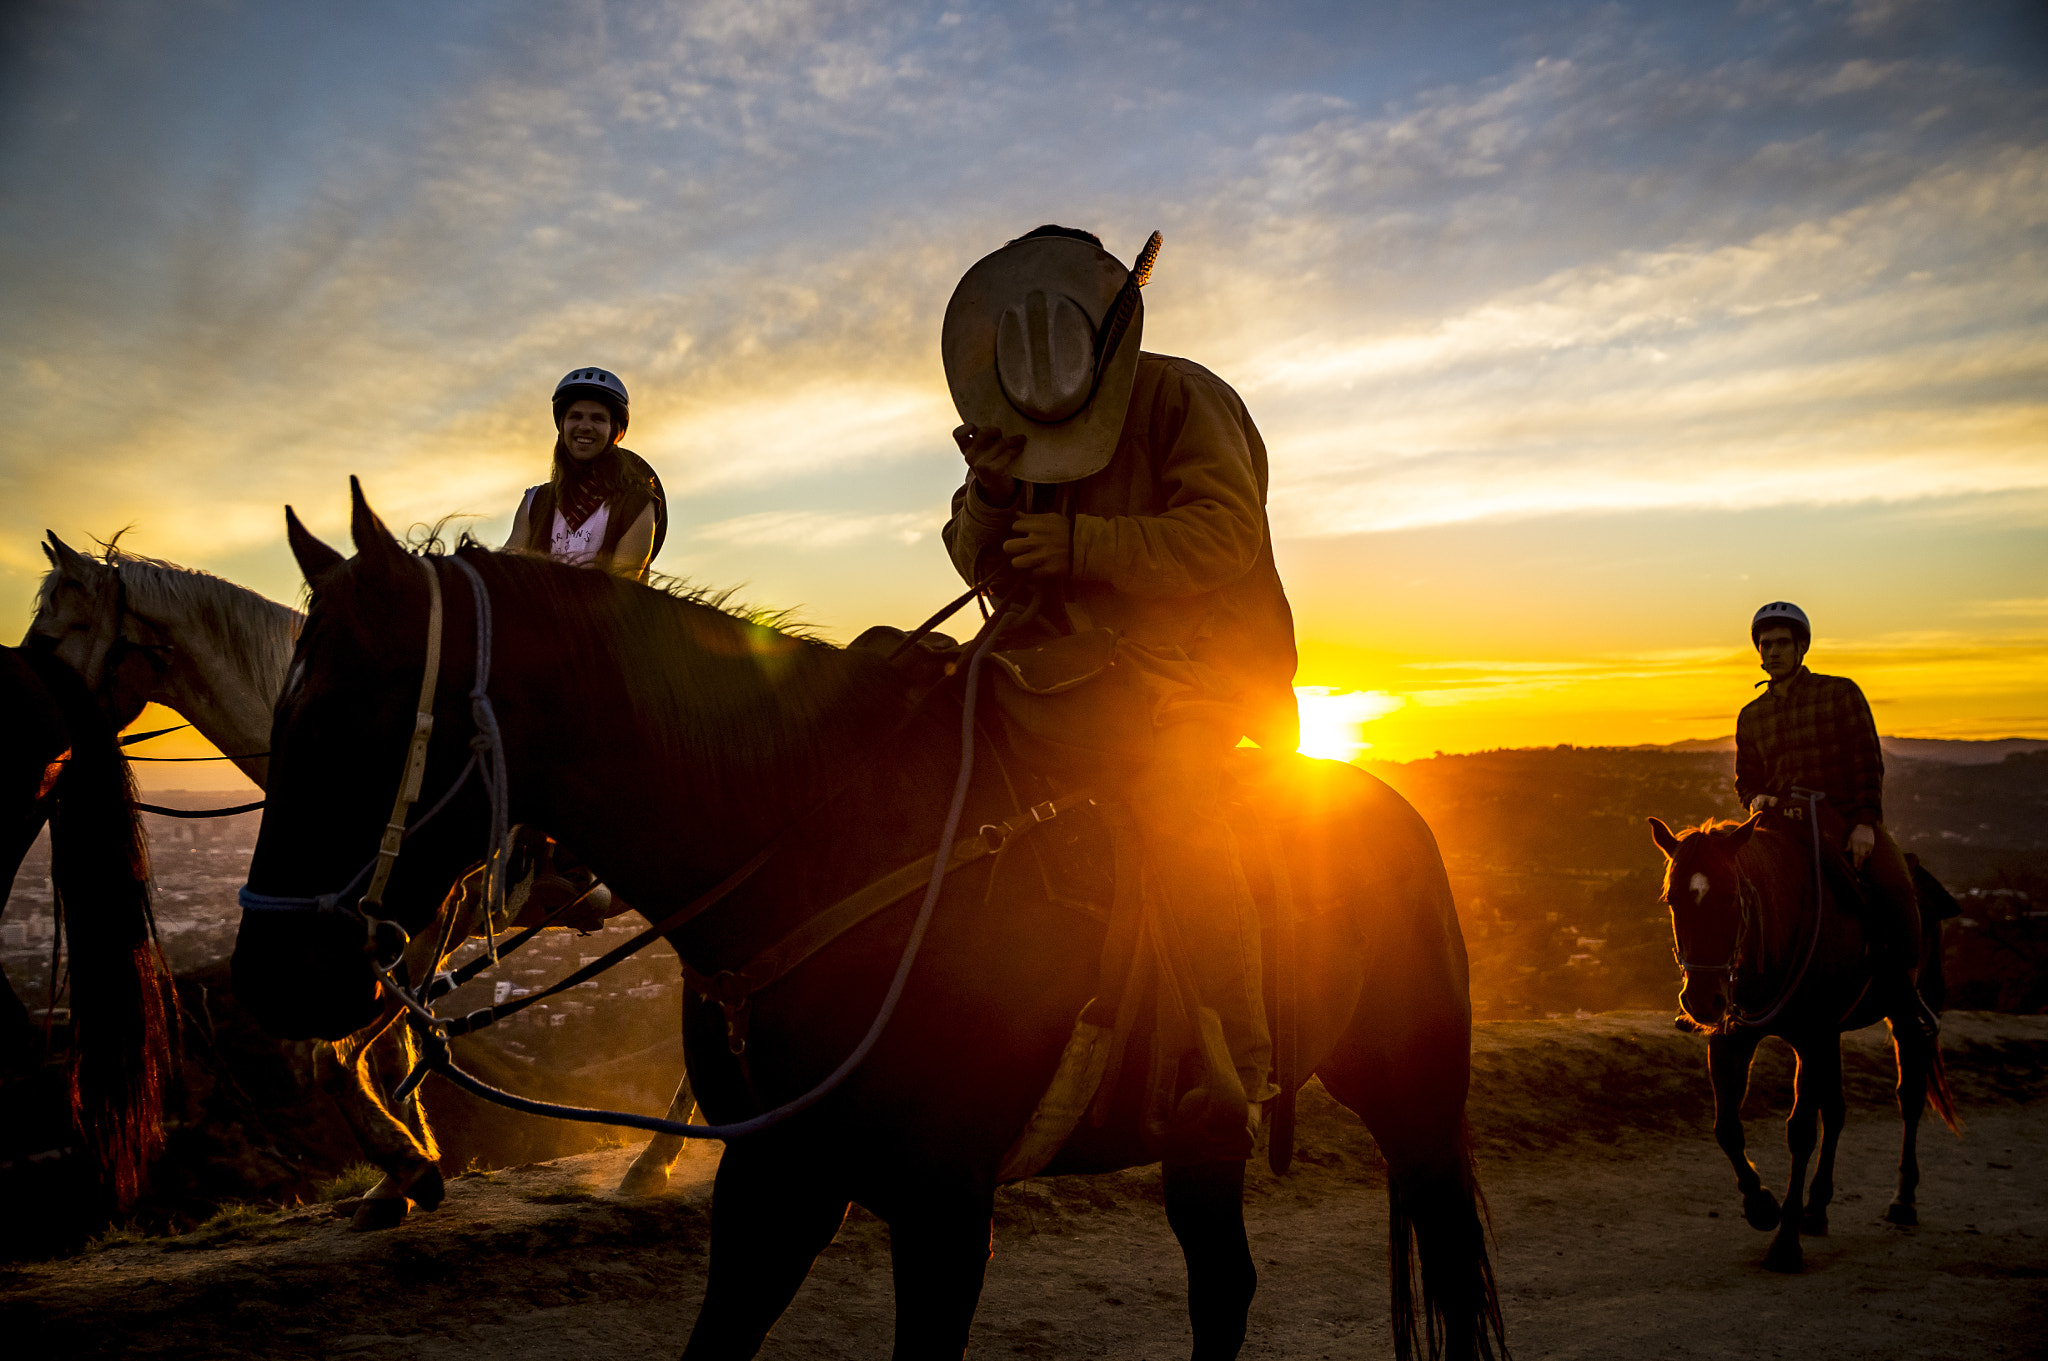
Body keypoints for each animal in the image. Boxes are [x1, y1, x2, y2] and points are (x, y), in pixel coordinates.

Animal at [28, 536, 696, 1211]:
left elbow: (337, 1056)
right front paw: (401, 1172)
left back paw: (653, 1160)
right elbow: (387, 1050)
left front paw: (405, 1163)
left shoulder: (427, 925)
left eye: (47, 643)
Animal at [232, 489, 1507, 1358]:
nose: (272, 974)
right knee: (1222, 1283)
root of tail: (1391, 808)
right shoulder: (776, 1177)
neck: (818, 839)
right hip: (1207, 1131)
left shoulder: (943, 1202)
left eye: (348, 716)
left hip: (1411, 1097)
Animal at [1646, 818, 1949, 1277]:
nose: (1701, 1000)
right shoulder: (1735, 1039)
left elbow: (1801, 1132)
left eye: (1731, 895)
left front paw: (1785, 1245)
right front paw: (1762, 1206)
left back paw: (1903, 1200)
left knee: (1909, 1097)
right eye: (1672, 899)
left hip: (1900, 1012)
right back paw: (1817, 1207)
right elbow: (1727, 1128)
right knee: (1837, 1110)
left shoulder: (1812, 1037)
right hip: (1833, 1036)